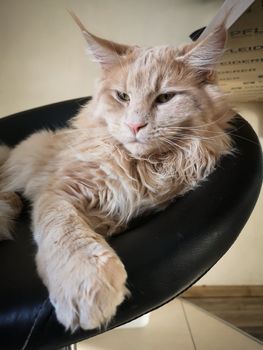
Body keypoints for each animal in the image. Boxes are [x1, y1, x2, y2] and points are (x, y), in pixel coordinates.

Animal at [1, 13, 234, 330]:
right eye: (123, 96)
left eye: (165, 98)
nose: (135, 125)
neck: (140, 166)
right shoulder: (58, 192)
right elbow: (68, 232)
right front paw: (85, 281)